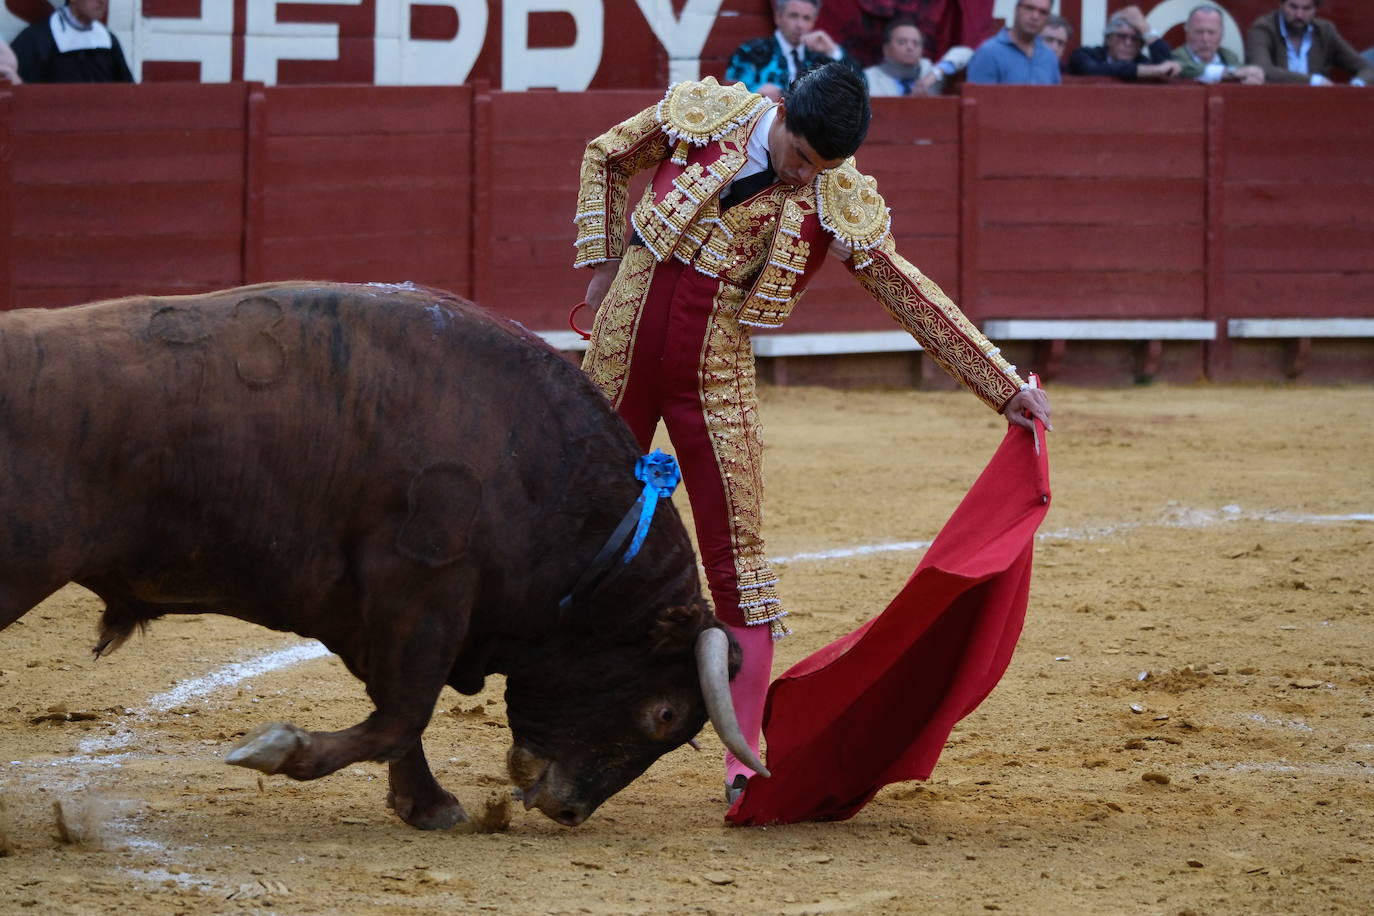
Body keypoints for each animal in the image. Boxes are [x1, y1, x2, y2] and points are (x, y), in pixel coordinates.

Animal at [0, 281, 769, 829]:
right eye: (664, 714)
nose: (567, 808)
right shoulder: (424, 585)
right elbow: (403, 710)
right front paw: (277, 750)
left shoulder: (366, 610)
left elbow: (396, 710)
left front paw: (425, 806)